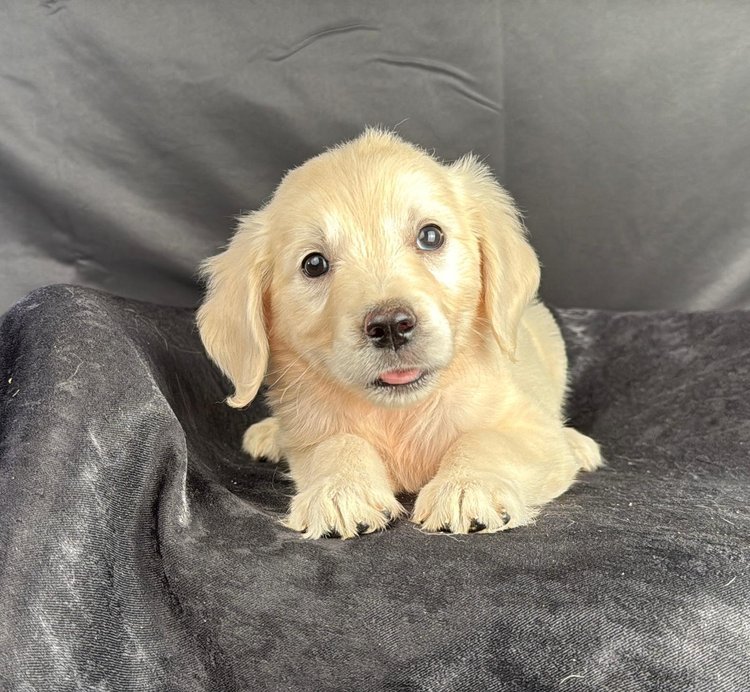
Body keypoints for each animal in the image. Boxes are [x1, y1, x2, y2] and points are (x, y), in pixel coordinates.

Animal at [197, 129, 602, 539]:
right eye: (314, 264)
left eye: (430, 236)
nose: (391, 326)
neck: (400, 412)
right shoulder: (309, 432)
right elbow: (337, 442)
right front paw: (340, 489)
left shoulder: (532, 428)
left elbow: (487, 439)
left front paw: (468, 486)